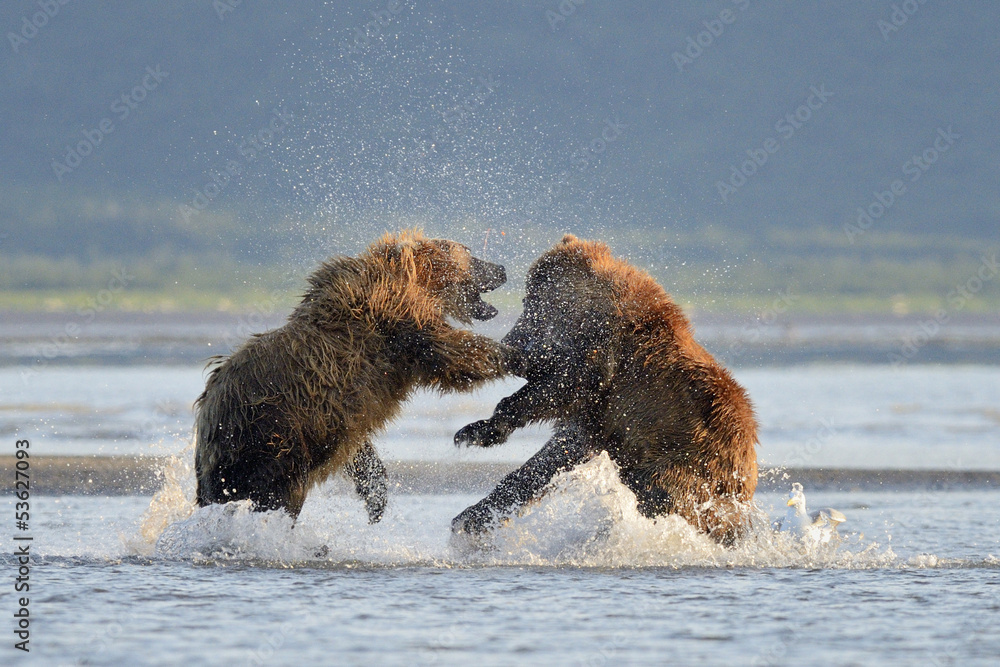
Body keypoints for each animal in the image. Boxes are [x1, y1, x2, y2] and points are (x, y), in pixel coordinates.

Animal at [194, 230, 515, 521]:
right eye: (470, 253)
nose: (501, 268)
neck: (413, 281)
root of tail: (207, 420)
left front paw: (376, 495)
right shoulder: (394, 317)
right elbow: (448, 351)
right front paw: (512, 351)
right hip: (270, 435)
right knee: (276, 493)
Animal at [452, 234, 759, 545]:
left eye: (532, 303)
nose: (512, 342)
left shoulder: (606, 357)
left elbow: (562, 386)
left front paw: (475, 431)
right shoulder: (595, 418)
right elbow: (554, 455)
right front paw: (471, 517)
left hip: (687, 463)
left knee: (660, 496)